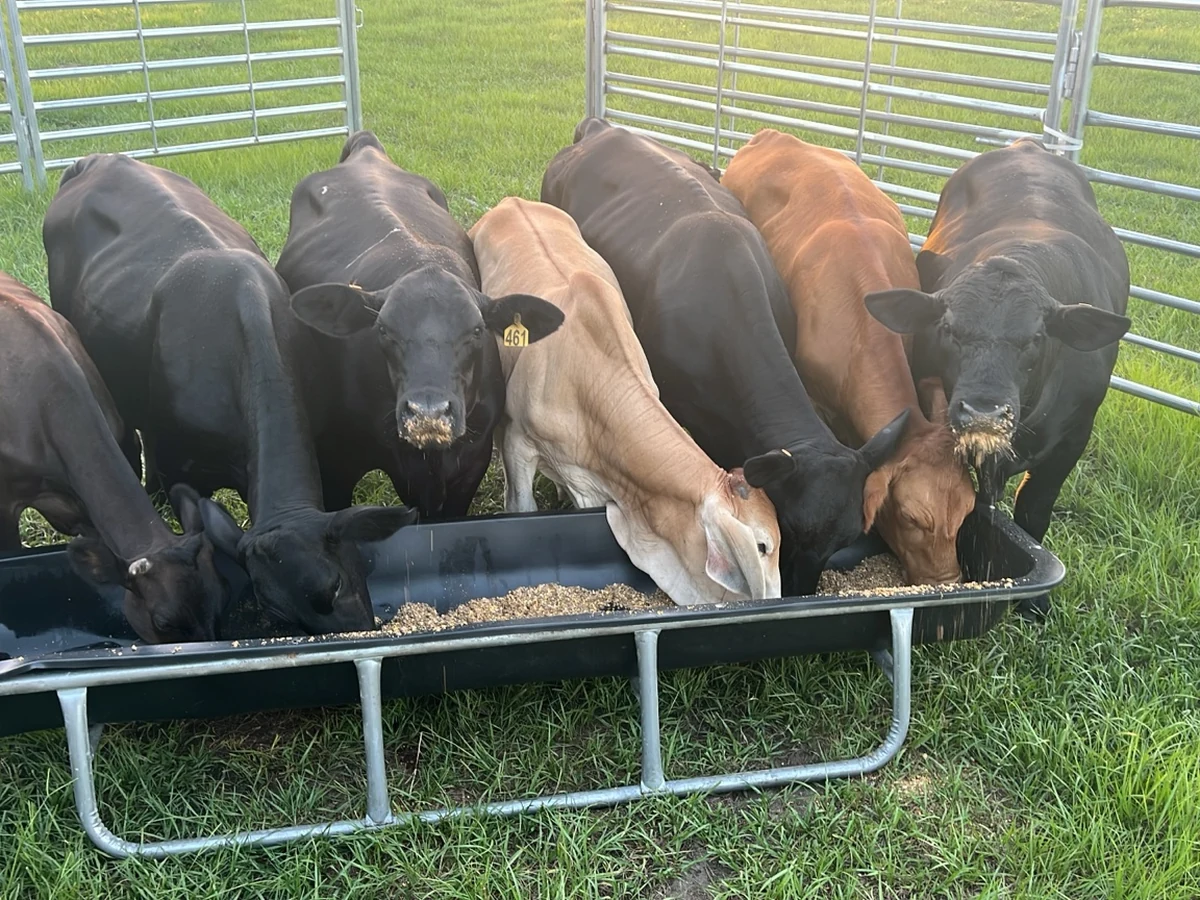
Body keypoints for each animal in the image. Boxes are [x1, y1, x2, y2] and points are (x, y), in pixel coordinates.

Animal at [275, 131, 564, 517]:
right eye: (383, 330)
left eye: (477, 330)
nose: (428, 412)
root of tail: (366, 149)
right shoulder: (336, 461)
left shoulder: (472, 460)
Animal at [863, 138, 1131, 614]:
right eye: (948, 328)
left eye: (1036, 337)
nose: (984, 411)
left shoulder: (1074, 437)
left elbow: (1033, 510)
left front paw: (1035, 606)